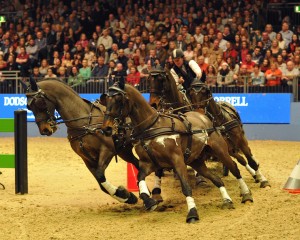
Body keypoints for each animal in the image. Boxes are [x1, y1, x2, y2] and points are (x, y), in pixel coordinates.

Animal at [101, 84, 253, 223]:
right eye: (106, 99)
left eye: (118, 99)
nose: (106, 128)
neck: (151, 126)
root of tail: (204, 117)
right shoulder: (148, 163)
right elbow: (140, 180)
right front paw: (149, 201)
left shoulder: (177, 160)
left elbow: (186, 187)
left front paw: (192, 213)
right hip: (197, 162)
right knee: (217, 179)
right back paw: (227, 200)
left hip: (221, 151)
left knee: (235, 168)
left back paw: (247, 194)